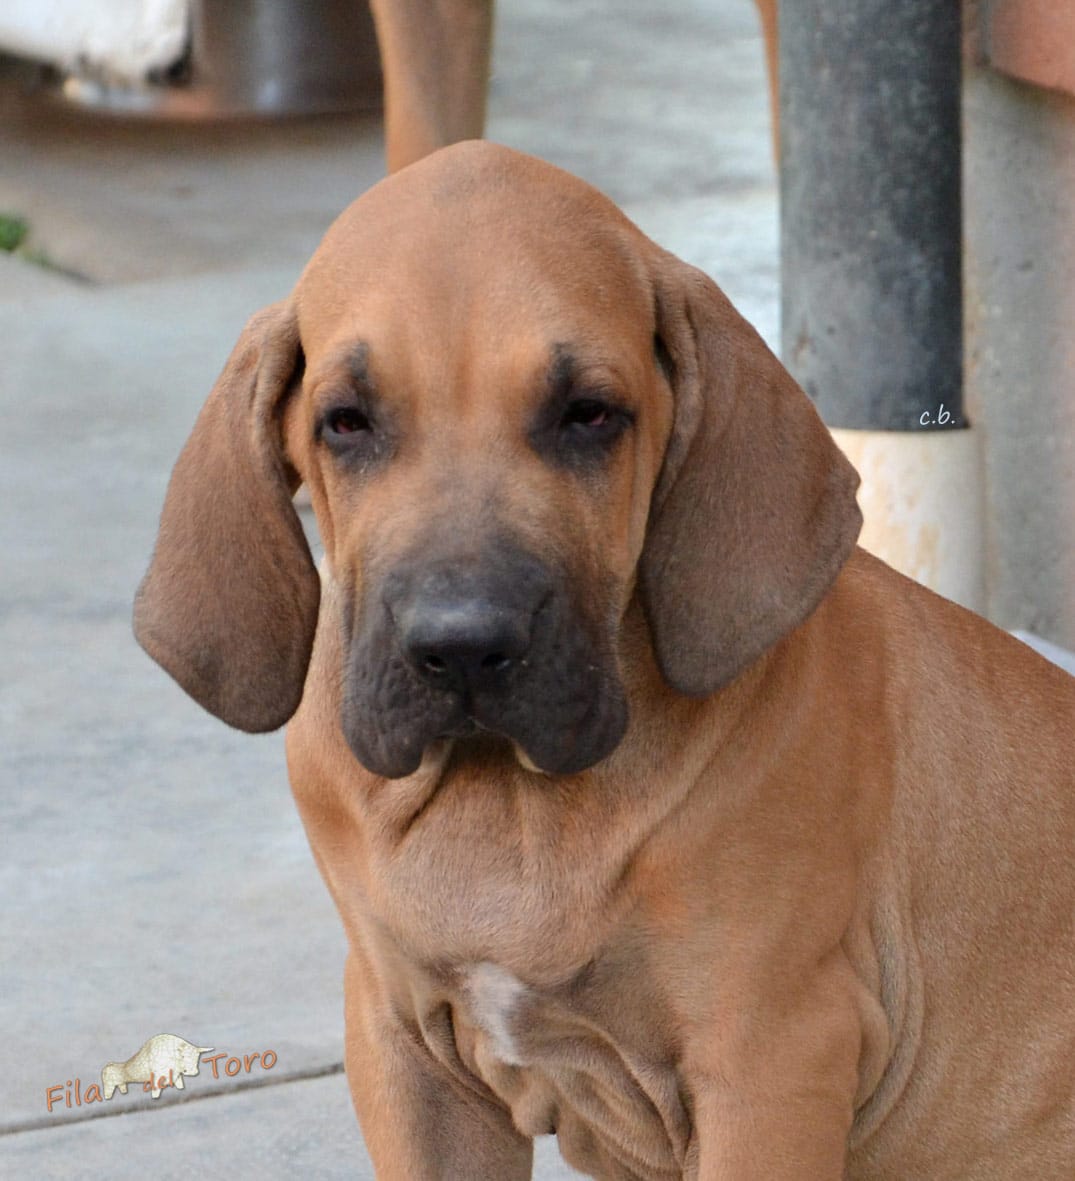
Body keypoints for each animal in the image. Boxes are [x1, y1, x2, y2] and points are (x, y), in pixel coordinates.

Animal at [137, 145, 1075, 1181]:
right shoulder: (404, 1048)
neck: (510, 806)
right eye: (344, 422)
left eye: (588, 415)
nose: (461, 645)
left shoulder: (771, 1059)